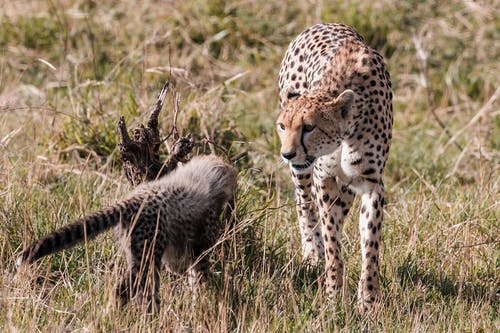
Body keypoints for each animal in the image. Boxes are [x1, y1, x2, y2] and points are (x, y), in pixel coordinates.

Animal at [276, 23, 392, 312]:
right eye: (282, 126)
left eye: (309, 127)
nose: (287, 154)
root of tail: (321, 23)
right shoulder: (324, 178)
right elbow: (331, 242)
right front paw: (333, 294)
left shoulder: (370, 182)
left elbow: (370, 244)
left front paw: (368, 300)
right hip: (304, 174)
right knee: (304, 204)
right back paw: (311, 252)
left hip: (347, 185)